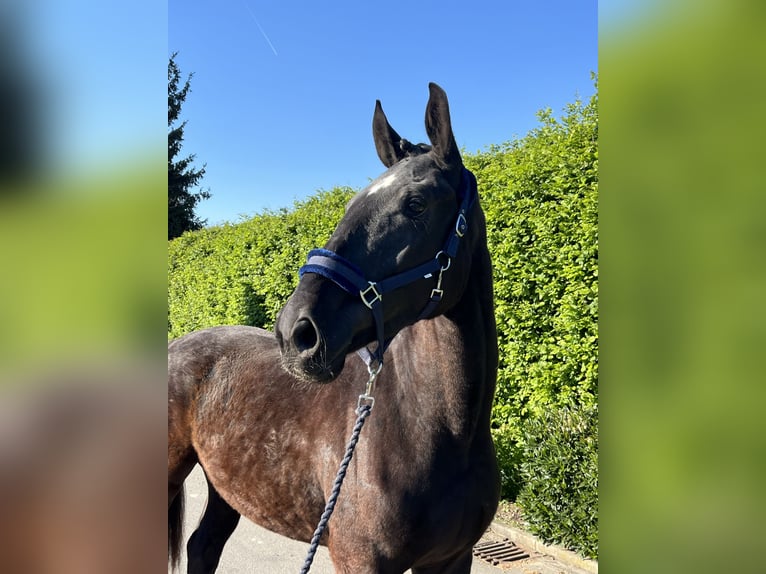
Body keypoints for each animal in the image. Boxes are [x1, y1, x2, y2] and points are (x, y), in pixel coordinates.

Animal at [169, 82, 500, 574]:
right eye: (351, 204)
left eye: (415, 204)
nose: (295, 331)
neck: (445, 433)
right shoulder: (360, 563)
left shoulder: (454, 559)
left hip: (227, 486)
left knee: (203, 546)